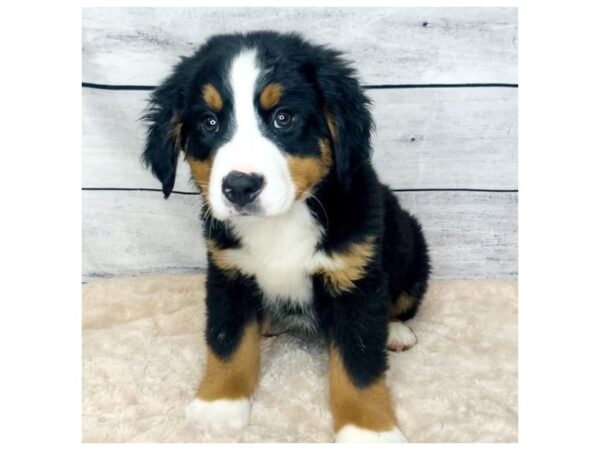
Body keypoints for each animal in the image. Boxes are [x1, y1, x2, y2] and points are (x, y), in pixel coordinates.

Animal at [142, 31, 428, 442]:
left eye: (283, 118)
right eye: (209, 122)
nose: (240, 187)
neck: (283, 220)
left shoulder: (356, 282)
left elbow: (358, 366)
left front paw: (368, 430)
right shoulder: (229, 274)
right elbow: (228, 342)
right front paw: (219, 407)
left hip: (412, 247)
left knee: (402, 303)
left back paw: (396, 331)